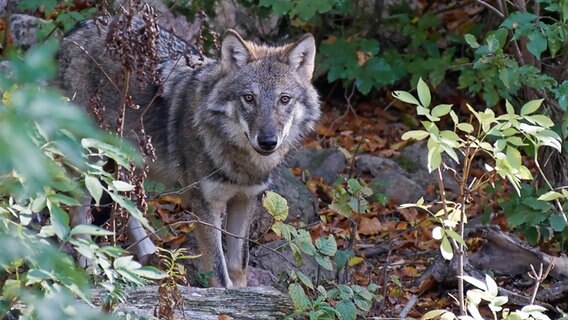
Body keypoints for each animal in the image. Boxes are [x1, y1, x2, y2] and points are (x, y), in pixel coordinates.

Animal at [55, 17, 322, 288]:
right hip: (91, 159)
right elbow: (218, 271)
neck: (241, 163)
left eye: (284, 99)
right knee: (78, 212)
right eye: (249, 98)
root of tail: (78, 28)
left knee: (123, 204)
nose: (268, 141)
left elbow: (239, 265)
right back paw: (88, 262)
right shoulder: (205, 205)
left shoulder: (245, 200)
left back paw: (148, 257)